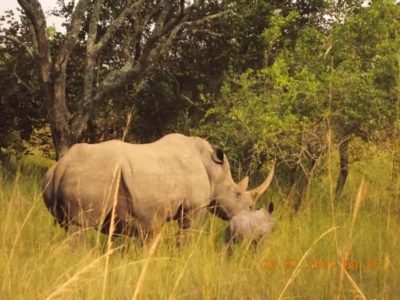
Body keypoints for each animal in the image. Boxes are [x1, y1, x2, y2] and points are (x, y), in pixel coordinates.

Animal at [43, 133, 276, 239]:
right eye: (237, 194)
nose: (248, 212)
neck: (213, 170)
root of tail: (62, 164)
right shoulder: (194, 208)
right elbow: (187, 234)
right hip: (92, 176)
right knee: (79, 226)